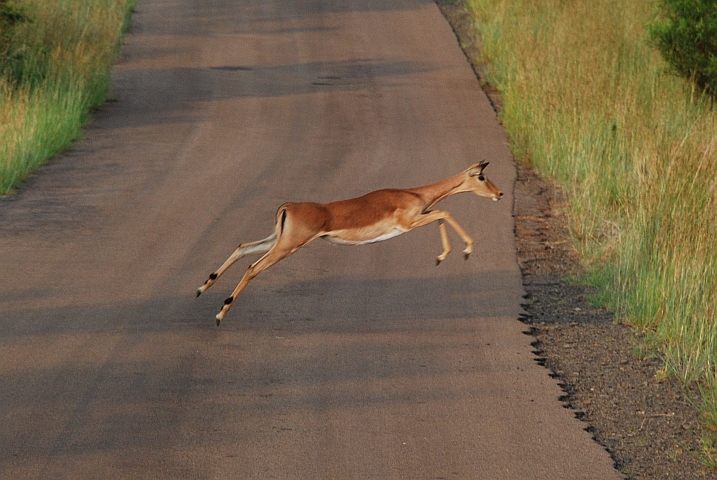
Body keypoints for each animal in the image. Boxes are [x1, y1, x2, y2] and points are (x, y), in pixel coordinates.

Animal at [197, 162, 503, 325]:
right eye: (482, 176)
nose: (499, 194)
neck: (414, 195)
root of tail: (288, 207)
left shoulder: (419, 218)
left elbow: (440, 214)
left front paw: (442, 257)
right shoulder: (408, 223)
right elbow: (445, 212)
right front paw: (464, 251)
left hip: (277, 240)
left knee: (242, 248)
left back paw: (202, 289)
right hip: (287, 246)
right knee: (252, 266)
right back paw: (219, 314)